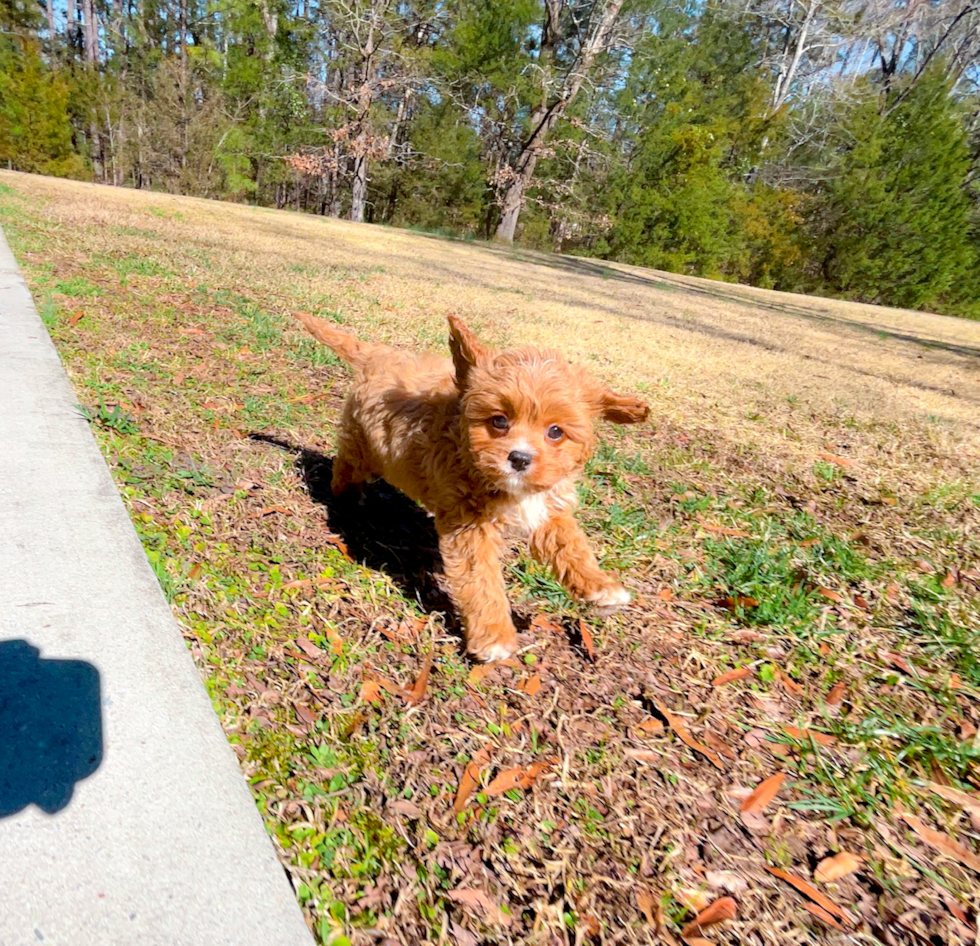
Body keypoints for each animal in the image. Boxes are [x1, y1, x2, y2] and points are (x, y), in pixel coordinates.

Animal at [294, 310, 648, 656]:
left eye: (556, 432)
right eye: (499, 421)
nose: (520, 458)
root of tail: (381, 355)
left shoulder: (548, 509)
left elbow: (571, 548)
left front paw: (601, 588)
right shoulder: (470, 529)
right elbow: (481, 581)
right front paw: (494, 637)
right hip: (361, 444)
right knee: (346, 465)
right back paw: (348, 496)